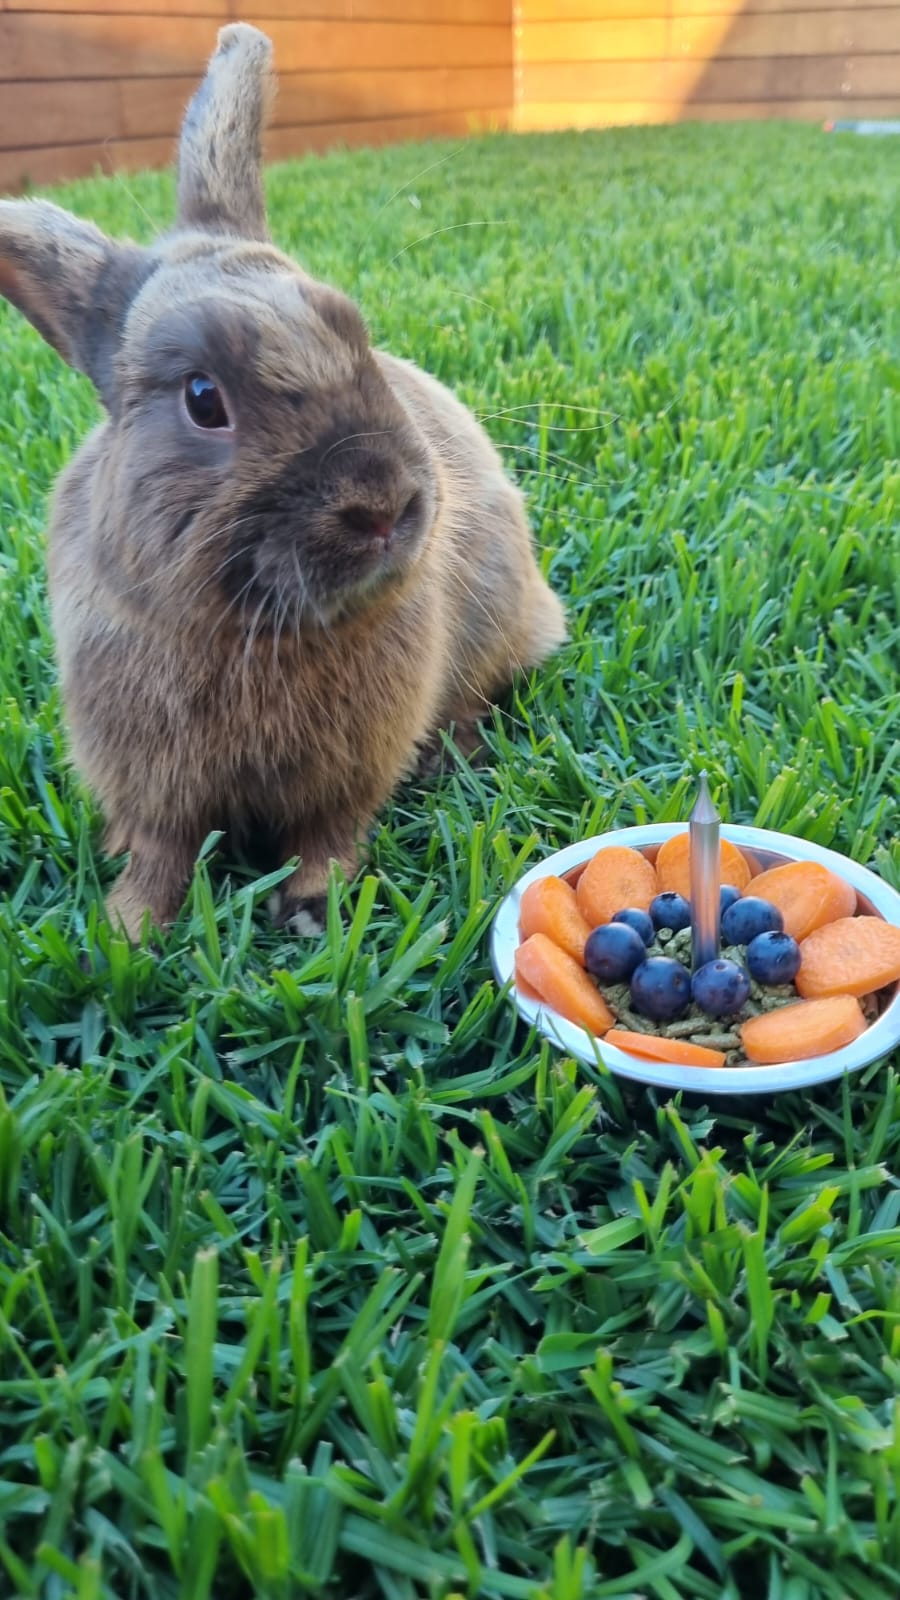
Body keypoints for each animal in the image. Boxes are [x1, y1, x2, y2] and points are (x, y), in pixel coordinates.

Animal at [0, 23, 566, 942]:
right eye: (203, 398)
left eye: (355, 331)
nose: (384, 504)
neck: (252, 631)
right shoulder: (151, 773)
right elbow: (161, 848)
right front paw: (125, 931)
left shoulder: (352, 764)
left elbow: (328, 831)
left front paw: (310, 910)